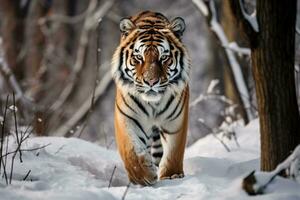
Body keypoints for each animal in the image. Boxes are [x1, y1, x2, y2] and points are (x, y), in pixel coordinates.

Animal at [111, 10, 191, 186]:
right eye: (138, 57)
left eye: (164, 58)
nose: (151, 81)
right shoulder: (127, 117)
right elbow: (131, 150)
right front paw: (143, 175)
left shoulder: (175, 121)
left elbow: (174, 151)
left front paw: (172, 176)